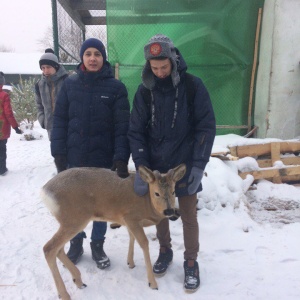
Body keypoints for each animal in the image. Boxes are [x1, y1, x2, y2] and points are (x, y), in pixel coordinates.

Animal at [41, 164, 186, 300]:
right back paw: (65, 294)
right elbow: (144, 243)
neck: (147, 203)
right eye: (156, 193)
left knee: (58, 249)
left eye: (173, 191)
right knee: (49, 248)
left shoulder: (128, 221)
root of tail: (44, 191)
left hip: (68, 222)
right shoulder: (131, 216)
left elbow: (131, 236)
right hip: (74, 219)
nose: (169, 211)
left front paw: (130, 262)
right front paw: (153, 283)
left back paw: (78, 280)